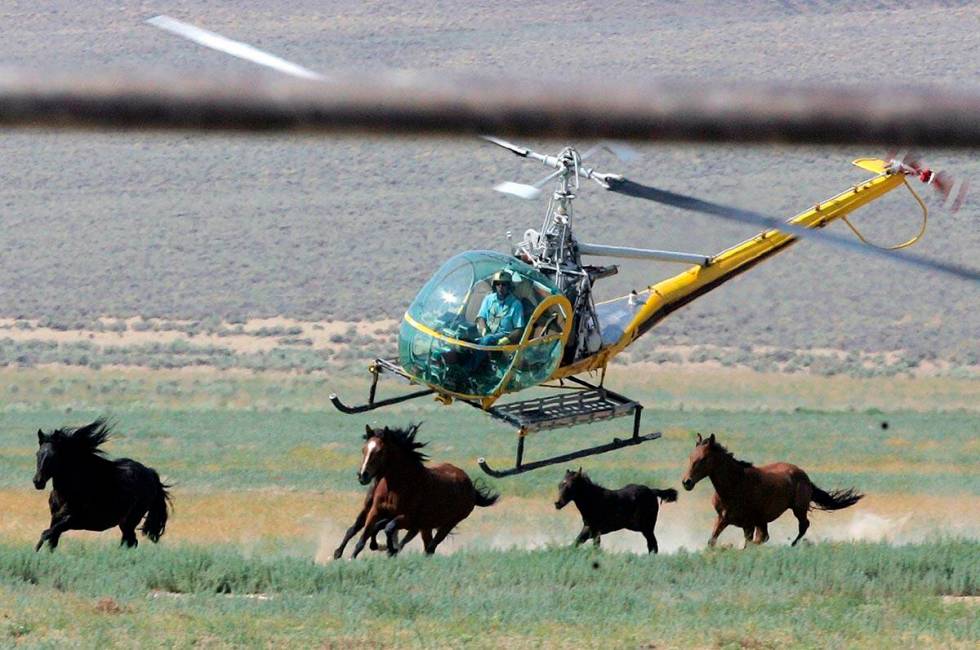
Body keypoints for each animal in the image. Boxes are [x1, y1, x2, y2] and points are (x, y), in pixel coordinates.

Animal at [32, 418, 170, 548]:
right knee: (130, 541)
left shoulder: (71, 520)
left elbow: (45, 534)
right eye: (38, 454)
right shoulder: (55, 519)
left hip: (131, 519)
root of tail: (150, 472)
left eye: (54, 456)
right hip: (125, 523)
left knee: (130, 541)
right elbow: (51, 541)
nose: (38, 482)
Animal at [334, 420, 498, 556]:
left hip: (447, 524)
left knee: (430, 547)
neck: (394, 487)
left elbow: (387, 528)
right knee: (425, 546)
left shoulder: (408, 519)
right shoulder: (375, 510)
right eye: (363, 449)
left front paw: (388, 549)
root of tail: (470, 486)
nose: (362, 475)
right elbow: (361, 535)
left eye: (380, 451)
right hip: (426, 526)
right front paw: (343, 555)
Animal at [680, 430, 864, 548]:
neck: (735, 485)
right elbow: (712, 541)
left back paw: (792, 544)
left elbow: (751, 543)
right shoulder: (724, 518)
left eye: (703, 459)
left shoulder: (750, 523)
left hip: (798, 509)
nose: (686, 482)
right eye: (690, 457)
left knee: (803, 526)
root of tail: (804, 475)